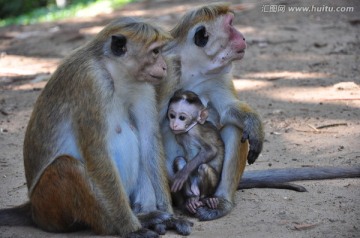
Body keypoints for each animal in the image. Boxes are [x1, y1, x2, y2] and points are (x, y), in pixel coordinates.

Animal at [0, 17, 193, 237]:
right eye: (155, 52)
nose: (163, 67)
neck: (112, 71)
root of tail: (32, 208)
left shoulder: (141, 85)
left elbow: (149, 141)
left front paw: (171, 217)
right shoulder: (91, 83)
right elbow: (97, 153)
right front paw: (131, 228)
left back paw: (146, 214)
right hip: (48, 205)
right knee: (66, 166)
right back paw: (129, 223)